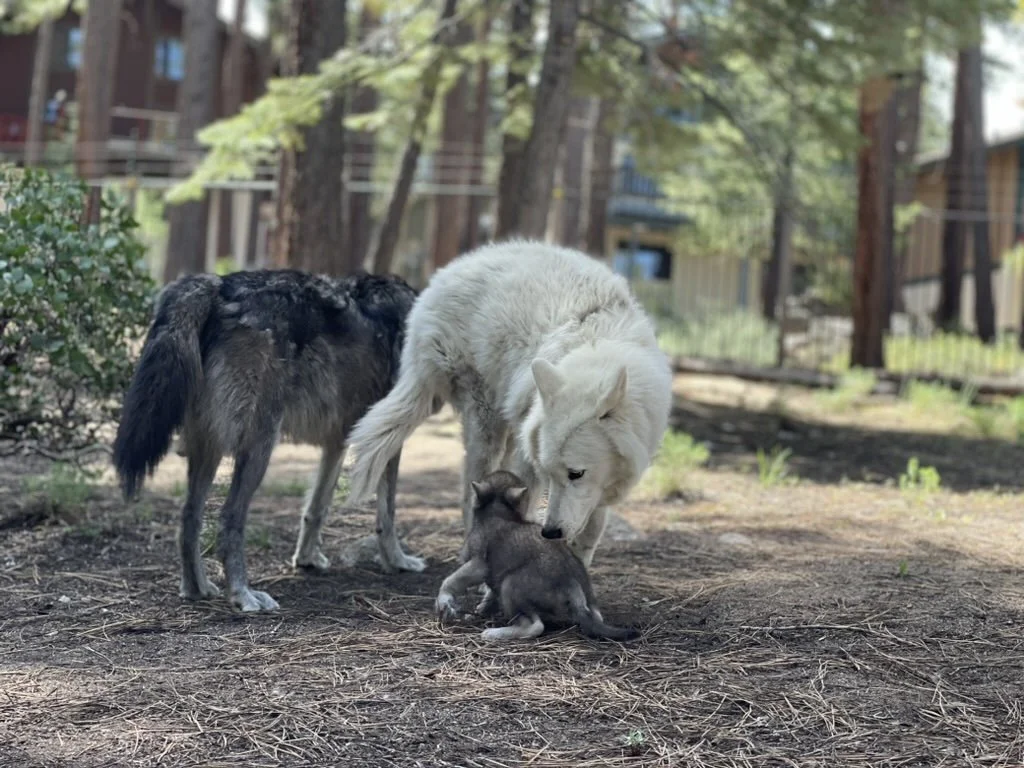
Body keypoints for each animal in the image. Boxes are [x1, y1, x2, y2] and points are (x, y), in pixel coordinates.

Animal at [112, 269, 428, 612]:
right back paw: (243, 595)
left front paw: (306, 559)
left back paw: (197, 588)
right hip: (259, 447)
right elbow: (388, 513)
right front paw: (398, 561)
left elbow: (317, 507)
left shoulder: (337, 441)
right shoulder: (389, 440)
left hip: (209, 449)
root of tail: (216, 285)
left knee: (189, 519)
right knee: (228, 520)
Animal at [345, 240, 673, 568]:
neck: (598, 345)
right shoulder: (532, 461)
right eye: (551, 472)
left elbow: (593, 524)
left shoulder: (604, 479)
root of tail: (441, 277)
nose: (551, 532)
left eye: (575, 474)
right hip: (486, 421)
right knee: (471, 491)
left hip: (510, 424)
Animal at [435, 471, 639, 642]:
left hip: (510, 584)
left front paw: (443, 601)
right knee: (595, 618)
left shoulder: (478, 563)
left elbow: (450, 580)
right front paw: (482, 609)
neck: (499, 512)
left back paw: (494, 633)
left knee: (535, 626)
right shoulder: (495, 574)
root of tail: (571, 583)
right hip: (589, 602)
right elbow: (490, 594)